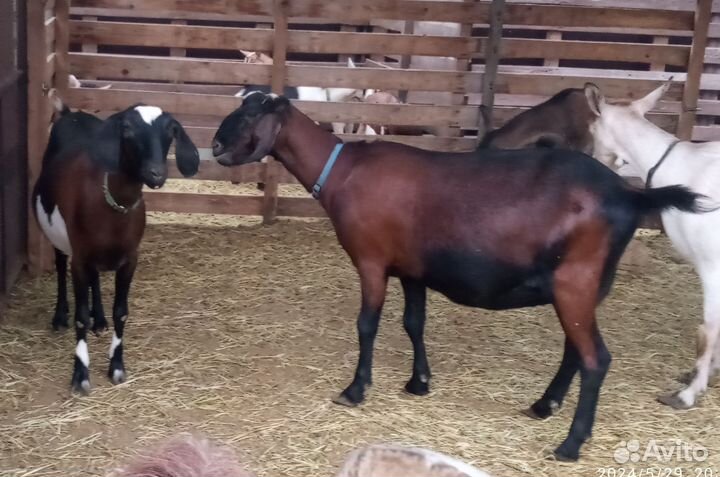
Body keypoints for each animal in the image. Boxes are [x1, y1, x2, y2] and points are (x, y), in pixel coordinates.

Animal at [33, 95, 199, 393]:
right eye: (127, 130)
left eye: (171, 131)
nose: (156, 174)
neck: (112, 207)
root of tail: (69, 113)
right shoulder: (80, 258)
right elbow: (80, 315)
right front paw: (80, 374)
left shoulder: (129, 259)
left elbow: (121, 312)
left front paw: (117, 366)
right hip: (60, 237)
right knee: (61, 266)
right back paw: (59, 316)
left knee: (95, 279)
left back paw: (99, 320)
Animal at [211, 92, 707, 461]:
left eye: (252, 111)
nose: (215, 147)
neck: (343, 171)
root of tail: (628, 194)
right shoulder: (411, 268)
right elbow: (414, 323)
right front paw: (419, 383)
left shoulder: (371, 260)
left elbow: (367, 325)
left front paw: (355, 390)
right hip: (588, 286)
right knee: (576, 351)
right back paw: (544, 405)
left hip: (576, 280)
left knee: (596, 359)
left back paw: (569, 444)